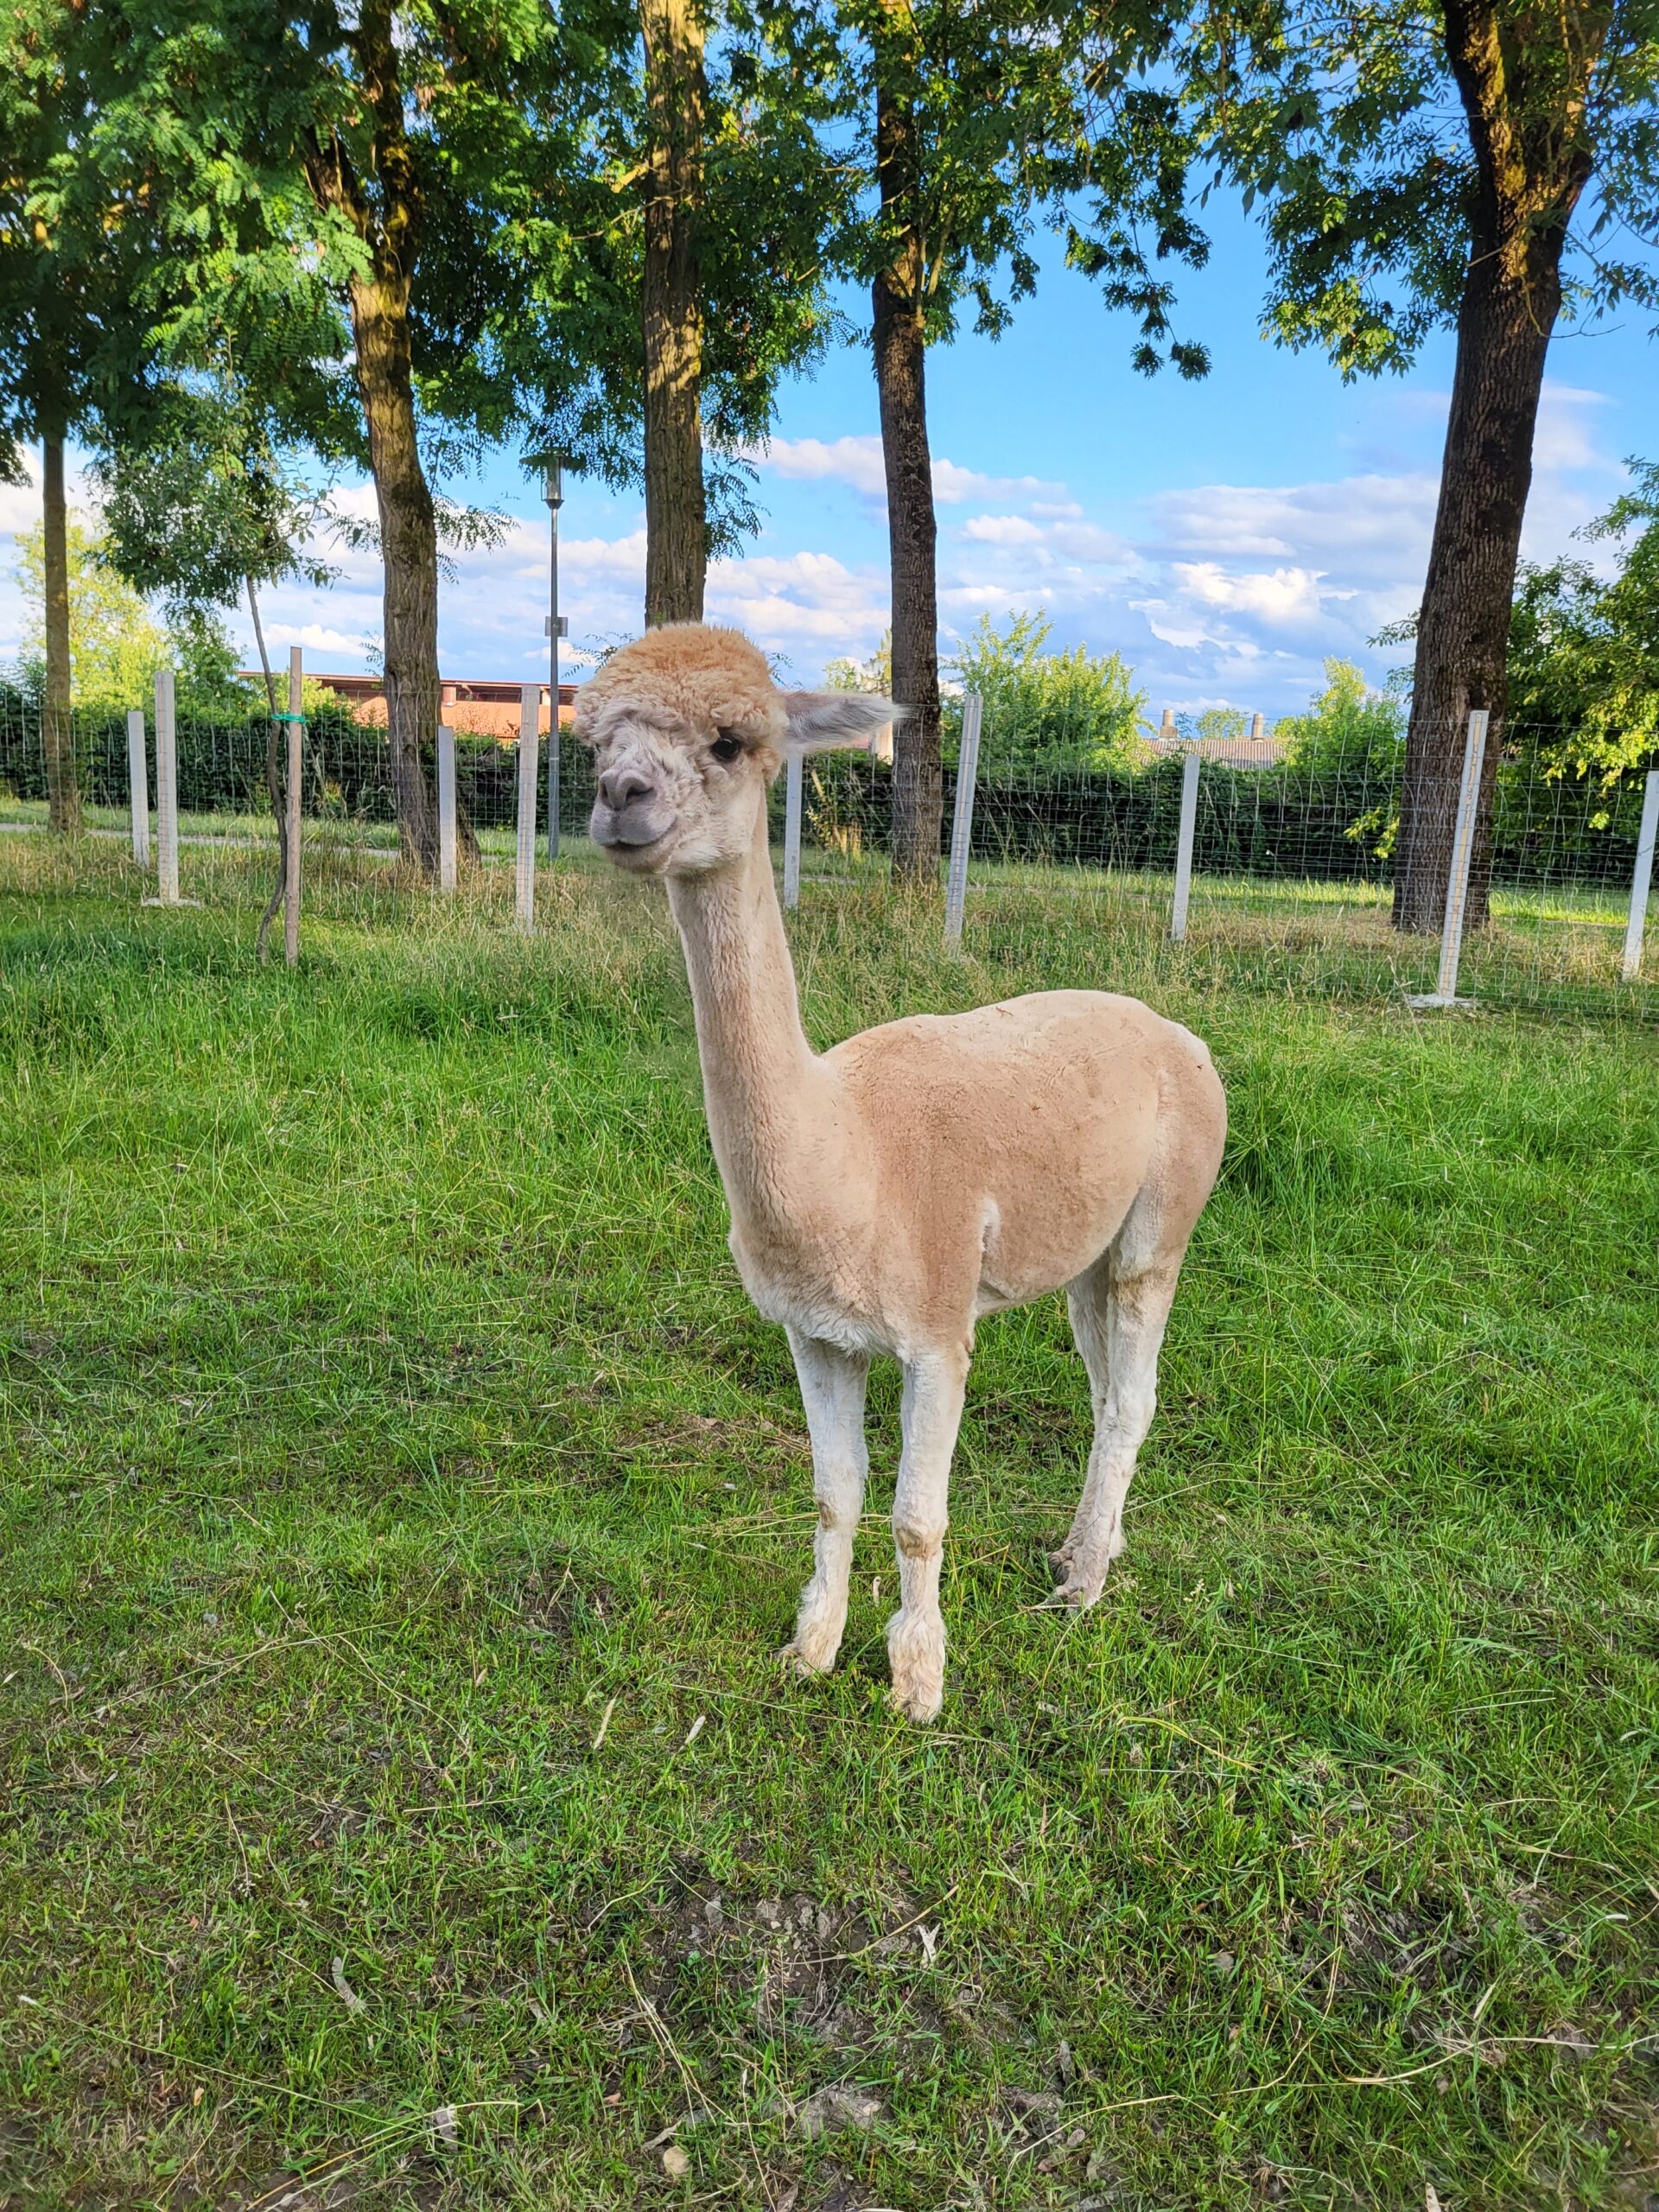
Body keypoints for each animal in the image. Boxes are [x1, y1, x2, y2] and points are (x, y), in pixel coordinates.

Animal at [576, 624, 1227, 1722]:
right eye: (589, 741)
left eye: (730, 741)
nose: (623, 796)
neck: (847, 1158)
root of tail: (1181, 1033)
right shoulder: (812, 1330)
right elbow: (835, 1493)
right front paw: (811, 1648)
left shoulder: (935, 1323)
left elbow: (918, 1516)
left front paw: (917, 1682)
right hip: (1082, 1254)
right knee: (1109, 1388)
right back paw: (1087, 1546)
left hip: (1164, 1219)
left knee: (1134, 1392)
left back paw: (1085, 1585)